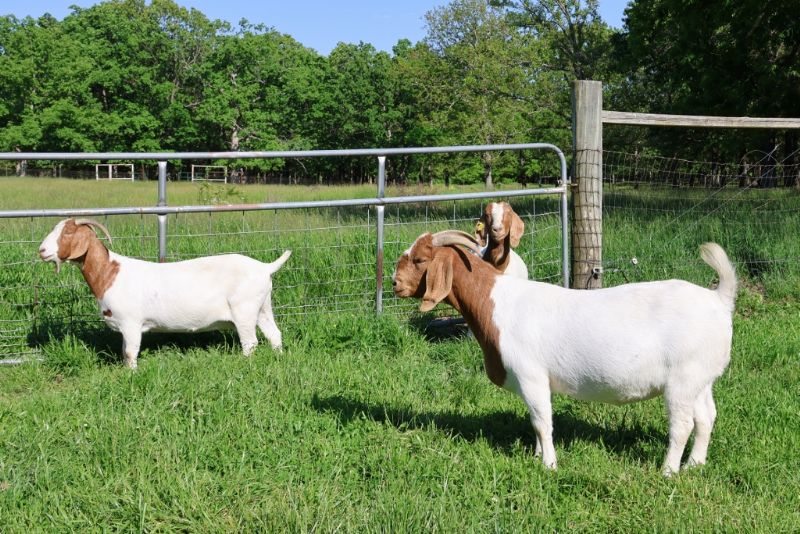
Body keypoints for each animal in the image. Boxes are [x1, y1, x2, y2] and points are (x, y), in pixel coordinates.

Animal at [39, 218, 291, 369]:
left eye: (68, 232)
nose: (42, 250)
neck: (110, 273)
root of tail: (265, 267)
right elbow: (124, 352)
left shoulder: (131, 322)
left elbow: (130, 352)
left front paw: (131, 375)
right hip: (262, 307)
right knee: (274, 334)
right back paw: (278, 358)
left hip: (244, 310)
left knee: (250, 342)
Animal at [392, 231, 736, 475]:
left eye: (420, 259)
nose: (395, 283)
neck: (497, 302)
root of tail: (719, 299)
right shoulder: (533, 383)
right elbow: (535, 421)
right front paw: (536, 456)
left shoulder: (531, 375)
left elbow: (543, 421)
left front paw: (549, 466)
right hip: (701, 379)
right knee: (706, 417)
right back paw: (695, 465)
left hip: (682, 378)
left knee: (683, 425)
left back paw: (668, 471)